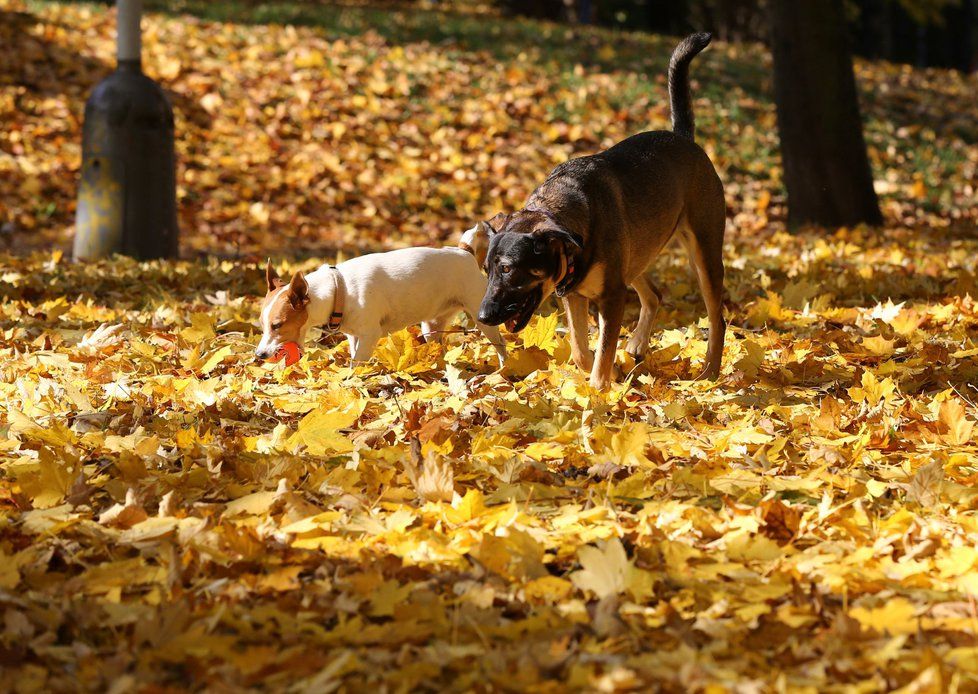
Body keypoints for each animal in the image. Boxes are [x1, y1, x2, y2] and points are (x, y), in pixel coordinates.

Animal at [258, 243, 504, 368]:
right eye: (261, 325)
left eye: (277, 325)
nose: (259, 355)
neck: (339, 289)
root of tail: (463, 251)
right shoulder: (354, 335)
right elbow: (354, 354)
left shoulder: (370, 334)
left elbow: (357, 361)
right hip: (431, 327)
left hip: (483, 316)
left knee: (500, 346)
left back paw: (504, 370)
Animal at [476, 34, 720, 392]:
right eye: (487, 270)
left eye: (507, 269)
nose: (482, 317)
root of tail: (683, 138)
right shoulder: (574, 295)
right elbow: (580, 350)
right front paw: (609, 377)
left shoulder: (612, 297)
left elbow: (604, 350)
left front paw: (597, 392)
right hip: (635, 254)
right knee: (655, 294)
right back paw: (638, 345)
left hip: (704, 254)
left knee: (718, 319)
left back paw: (710, 374)